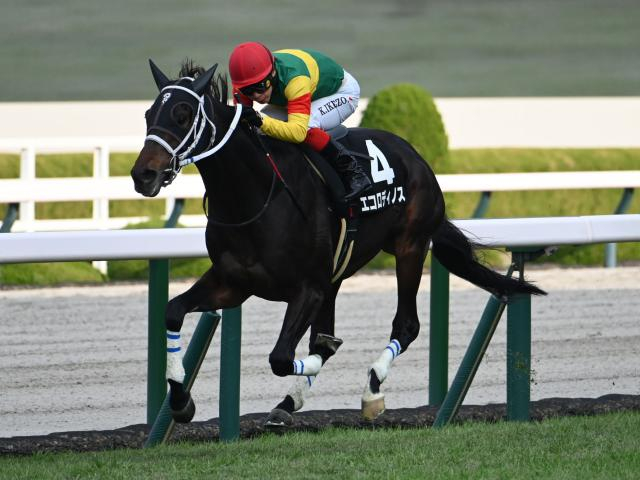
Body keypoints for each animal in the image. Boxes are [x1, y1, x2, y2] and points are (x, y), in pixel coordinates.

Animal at [131, 59, 545, 427]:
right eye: (150, 113)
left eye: (183, 114)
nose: (143, 174)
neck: (255, 195)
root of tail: (415, 156)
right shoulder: (233, 283)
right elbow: (173, 311)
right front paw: (180, 401)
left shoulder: (308, 287)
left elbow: (282, 356)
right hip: (337, 273)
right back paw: (287, 403)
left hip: (409, 247)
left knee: (406, 325)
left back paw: (372, 389)